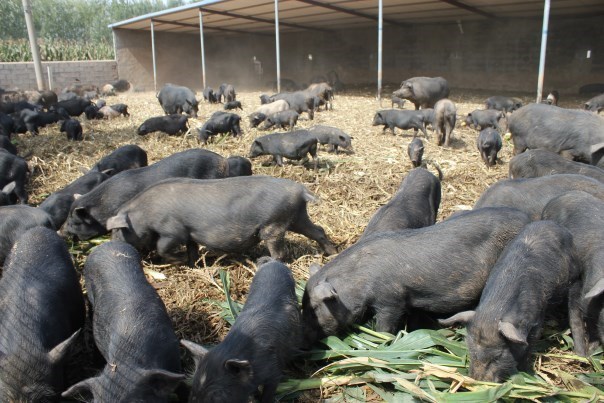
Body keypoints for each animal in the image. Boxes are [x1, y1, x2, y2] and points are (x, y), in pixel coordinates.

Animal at [105, 176, 338, 266]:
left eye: (117, 231)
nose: (112, 245)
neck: (144, 214)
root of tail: (300, 191)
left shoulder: (173, 230)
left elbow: (163, 247)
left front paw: (180, 259)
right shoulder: (189, 234)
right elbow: (192, 248)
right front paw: (193, 263)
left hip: (274, 224)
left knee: (280, 252)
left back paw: (263, 261)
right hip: (297, 217)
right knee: (318, 230)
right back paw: (331, 253)